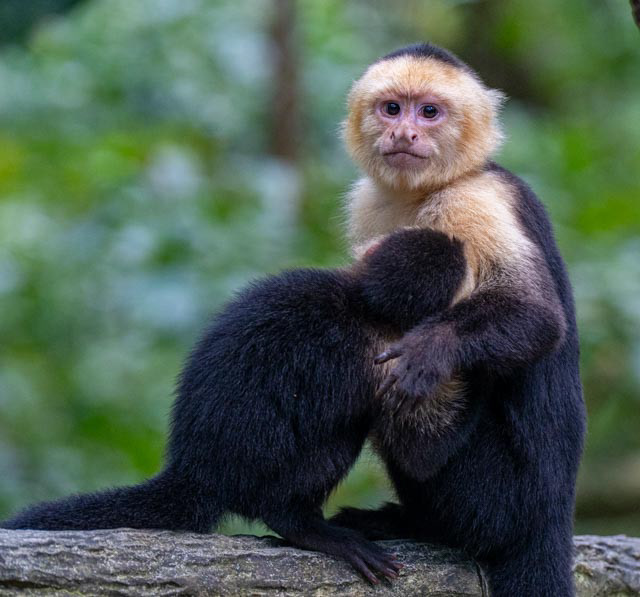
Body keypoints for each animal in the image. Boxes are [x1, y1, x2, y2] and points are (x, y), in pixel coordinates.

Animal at [2, 227, 467, 584]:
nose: (460, 244)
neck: (360, 304)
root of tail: (197, 472)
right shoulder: (383, 359)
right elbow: (421, 459)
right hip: (262, 475)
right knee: (333, 444)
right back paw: (300, 525)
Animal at [329, 43, 586, 597]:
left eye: (429, 112)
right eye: (392, 109)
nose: (405, 134)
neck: (429, 190)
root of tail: (553, 518)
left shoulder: (473, 202)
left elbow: (536, 316)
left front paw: (432, 349)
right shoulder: (369, 204)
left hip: (496, 500)